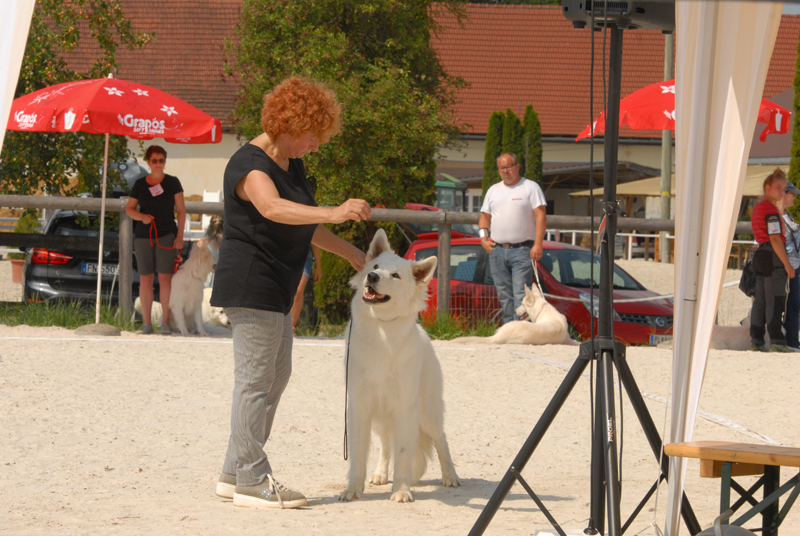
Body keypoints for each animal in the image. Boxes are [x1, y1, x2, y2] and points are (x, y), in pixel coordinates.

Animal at [340, 229, 462, 502]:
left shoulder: (406, 408)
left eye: (395, 275)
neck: (382, 329)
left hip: (428, 413)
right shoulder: (360, 407)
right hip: (382, 418)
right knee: (386, 444)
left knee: (442, 439)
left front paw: (402, 490)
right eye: (375, 267)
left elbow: (404, 454)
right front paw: (353, 489)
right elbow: (358, 456)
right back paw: (380, 474)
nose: (372, 277)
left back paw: (451, 476)